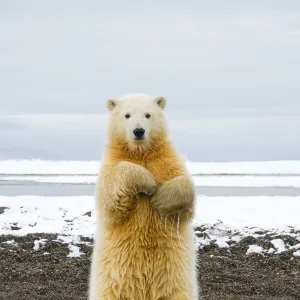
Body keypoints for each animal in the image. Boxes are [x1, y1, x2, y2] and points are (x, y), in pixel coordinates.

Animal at [88, 92, 199, 298]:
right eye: (127, 115)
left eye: (148, 114)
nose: (138, 131)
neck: (141, 153)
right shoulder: (111, 164)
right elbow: (110, 195)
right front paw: (149, 182)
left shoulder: (167, 162)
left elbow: (186, 187)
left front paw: (160, 199)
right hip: (113, 285)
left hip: (175, 283)